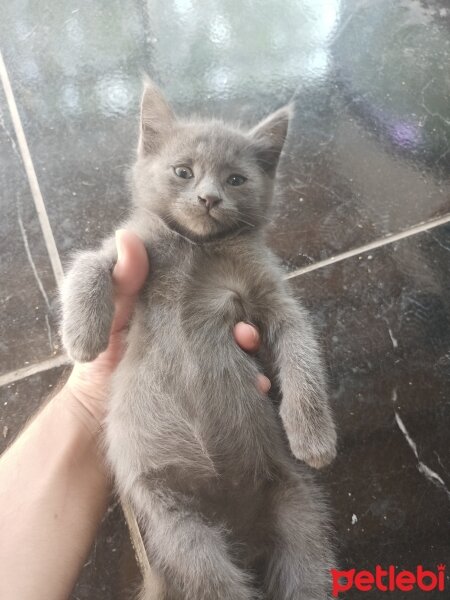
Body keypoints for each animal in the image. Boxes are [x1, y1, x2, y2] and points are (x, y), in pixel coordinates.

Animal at [59, 81, 336, 600]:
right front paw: (83, 339)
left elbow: (302, 351)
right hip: (179, 527)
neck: (197, 246)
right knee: (213, 578)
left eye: (236, 179)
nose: (208, 197)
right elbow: (87, 265)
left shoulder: (273, 296)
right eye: (183, 171)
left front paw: (314, 437)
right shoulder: (129, 247)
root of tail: (240, 537)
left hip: (299, 511)